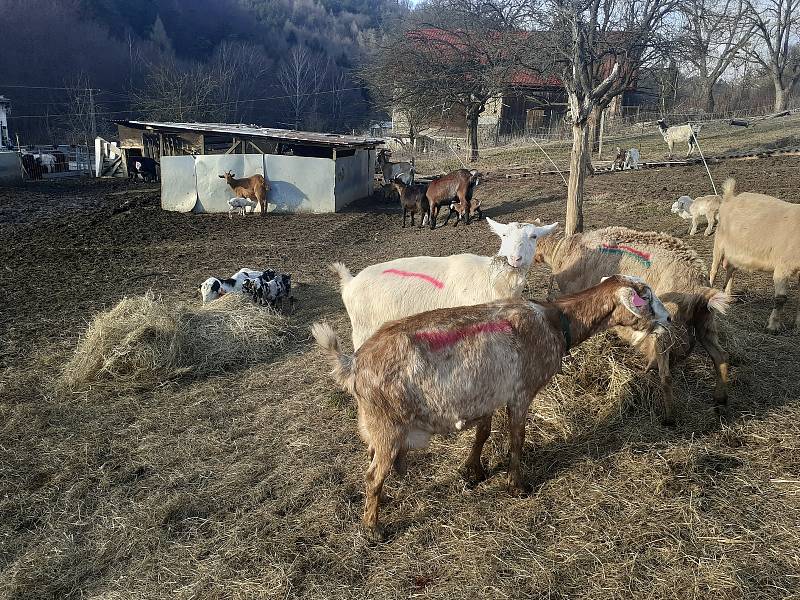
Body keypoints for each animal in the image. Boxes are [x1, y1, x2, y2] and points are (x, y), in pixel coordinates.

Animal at [330, 217, 556, 350]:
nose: (515, 258)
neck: (491, 277)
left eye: (534, 236)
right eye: (504, 235)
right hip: (362, 329)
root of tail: (349, 282)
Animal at [712, 178, 800, 332]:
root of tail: (730, 198)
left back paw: (728, 297)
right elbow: (781, 299)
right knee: (713, 270)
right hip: (719, 244)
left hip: (733, 252)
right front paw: (773, 326)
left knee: (731, 271)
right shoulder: (783, 267)